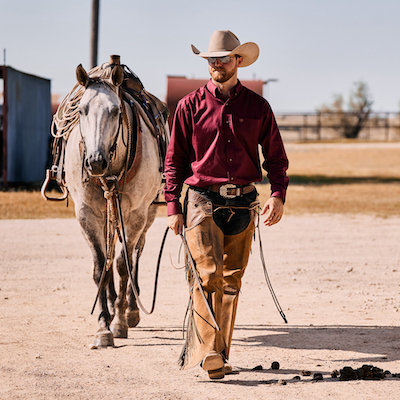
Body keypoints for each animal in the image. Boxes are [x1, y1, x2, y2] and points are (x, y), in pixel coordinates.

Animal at [62, 59, 167, 346]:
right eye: (82, 110)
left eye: (115, 110)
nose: (95, 162)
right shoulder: (86, 214)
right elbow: (101, 267)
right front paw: (103, 325)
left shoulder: (136, 214)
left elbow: (123, 264)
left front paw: (119, 320)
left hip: (147, 213)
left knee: (135, 253)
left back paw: (131, 308)